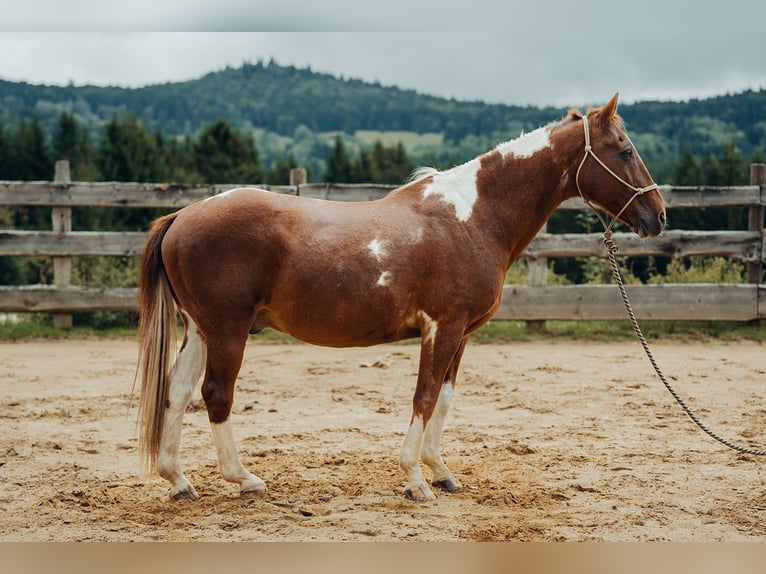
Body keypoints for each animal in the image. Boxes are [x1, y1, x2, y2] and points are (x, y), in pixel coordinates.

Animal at [136, 93, 666, 502]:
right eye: (624, 150)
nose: (658, 215)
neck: (473, 217)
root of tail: (181, 217)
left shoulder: (461, 335)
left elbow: (445, 399)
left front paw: (441, 471)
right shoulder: (441, 329)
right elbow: (425, 398)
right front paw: (415, 479)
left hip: (200, 330)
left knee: (177, 392)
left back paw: (180, 482)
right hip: (228, 330)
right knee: (215, 394)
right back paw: (244, 479)